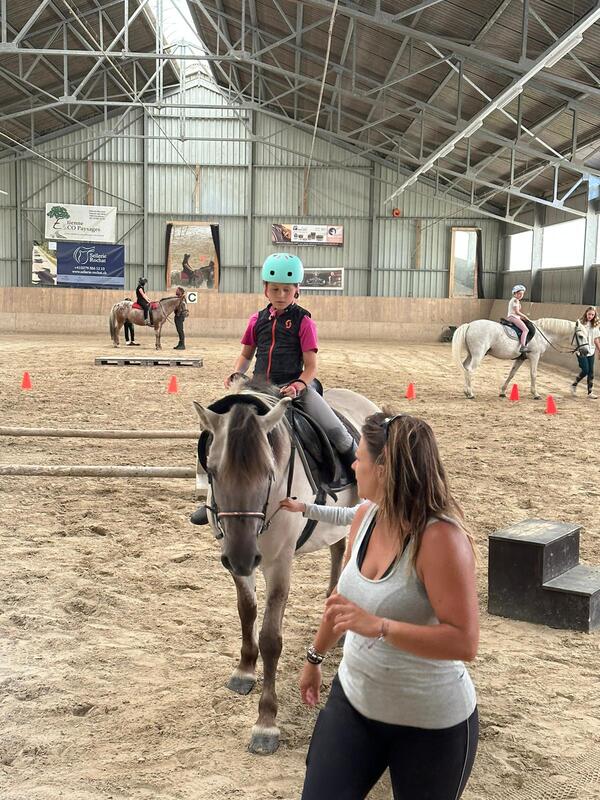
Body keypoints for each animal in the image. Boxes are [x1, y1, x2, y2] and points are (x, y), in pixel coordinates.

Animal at [192, 382, 378, 755]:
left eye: (269, 472)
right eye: (213, 471)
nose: (242, 556)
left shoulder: (279, 565)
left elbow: (270, 639)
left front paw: (266, 722)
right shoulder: (238, 562)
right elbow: (246, 611)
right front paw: (244, 671)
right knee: (338, 552)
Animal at [452, 317, 588, 399]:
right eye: (581, 336)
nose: (586, 351)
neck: (542, 333)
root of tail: (470, 325)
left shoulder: (521, 358)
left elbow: (511, 374)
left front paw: (503, 392)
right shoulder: (534, 356)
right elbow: (533, 374)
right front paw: (535, 394)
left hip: (471, 354)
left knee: (465, 368)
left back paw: (466, 391)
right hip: (478, 354)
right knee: (470, 370)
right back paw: (470, 393)